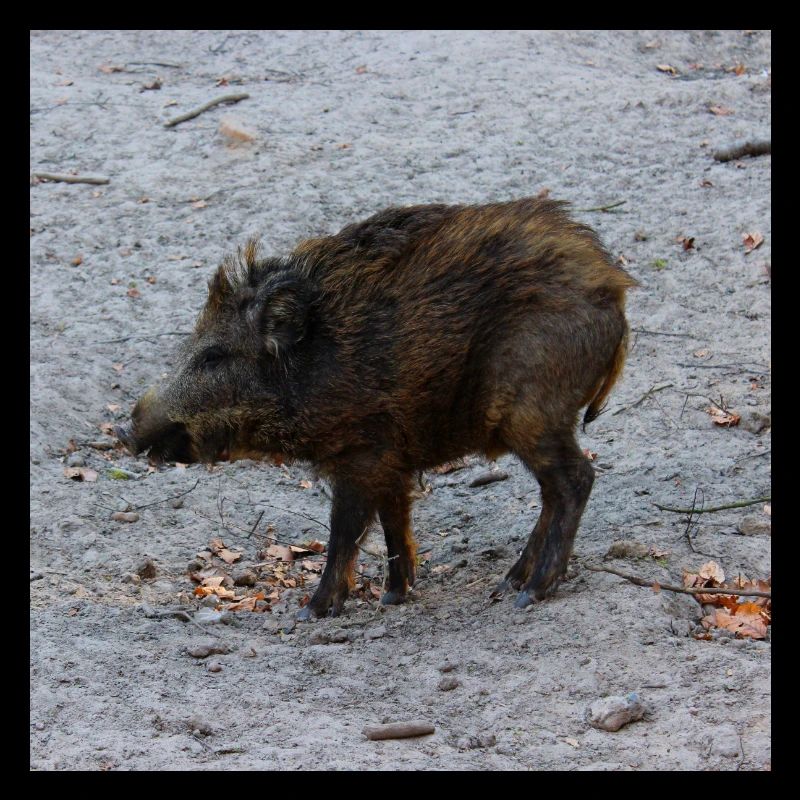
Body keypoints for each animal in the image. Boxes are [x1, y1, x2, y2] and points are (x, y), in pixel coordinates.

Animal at [116, 198, 636, 618]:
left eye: (214, 357)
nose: (126, 431)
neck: (312, 367)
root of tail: (614, 293)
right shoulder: (392, 460)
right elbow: (393, 522)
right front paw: (394, 595)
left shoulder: (363, 454)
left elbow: (345, 530)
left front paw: (313, 611)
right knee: (553, 491)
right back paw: (511, 581)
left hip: (532, 413)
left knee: (575, 481)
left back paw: (531, 593)